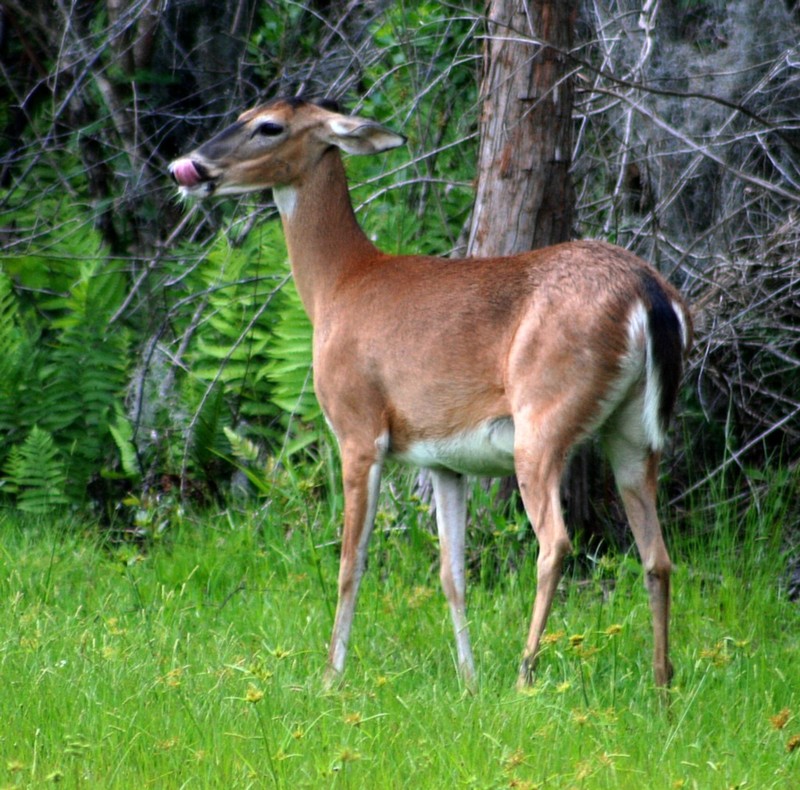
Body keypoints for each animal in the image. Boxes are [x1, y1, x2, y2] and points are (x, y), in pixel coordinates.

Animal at [170, 97, 692, 692]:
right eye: (244, 114)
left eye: (269, 126)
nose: (192, 166)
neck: (338, 286)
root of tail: (649, 294)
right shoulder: (444, 460)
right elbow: (451, 572)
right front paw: (468, 679)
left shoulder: (358, 426)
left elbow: (351, 561)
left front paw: (330, 676)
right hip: (633, 431)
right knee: (657, 555)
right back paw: (662, 685)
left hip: (543, 418)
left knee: (556, 542)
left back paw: (525, 675)